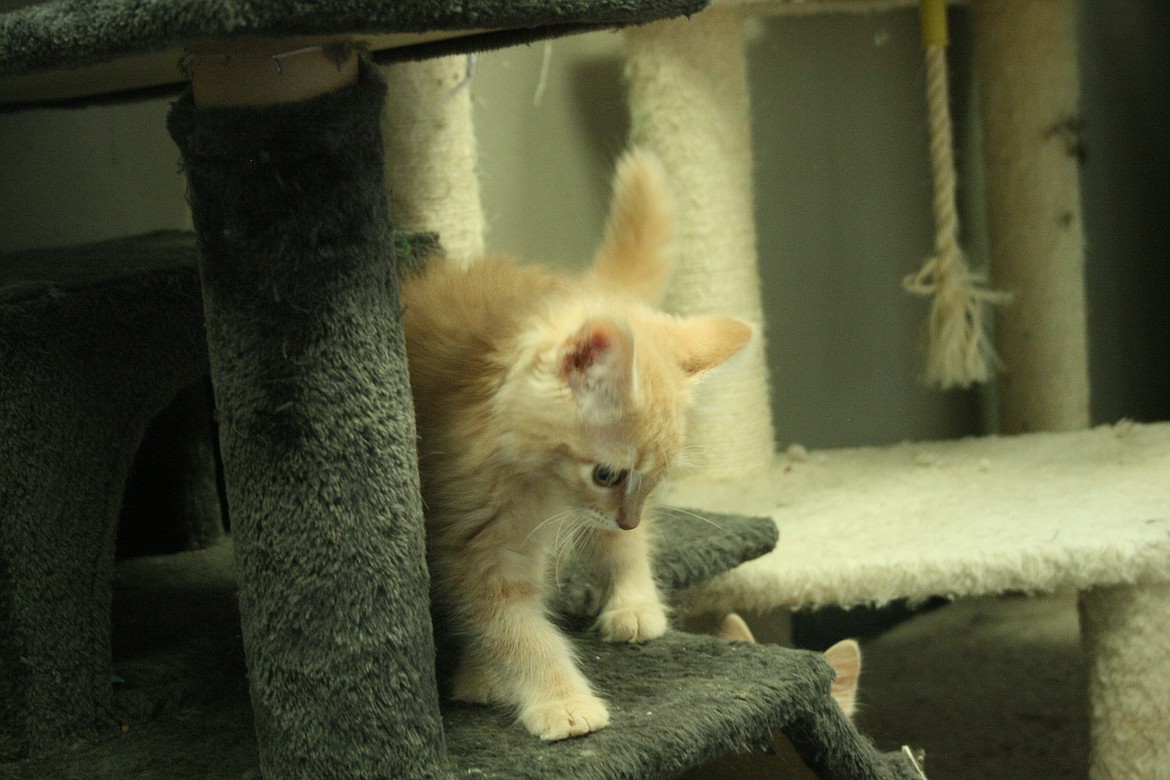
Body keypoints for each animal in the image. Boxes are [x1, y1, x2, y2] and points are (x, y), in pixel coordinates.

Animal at [400, 149, 748, 743]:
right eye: (606, 474)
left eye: (652, 479)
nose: (628, 517)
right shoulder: (473, 536)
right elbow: (511, 623)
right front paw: (557, 699)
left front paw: (554, 698)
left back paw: (634, 602)